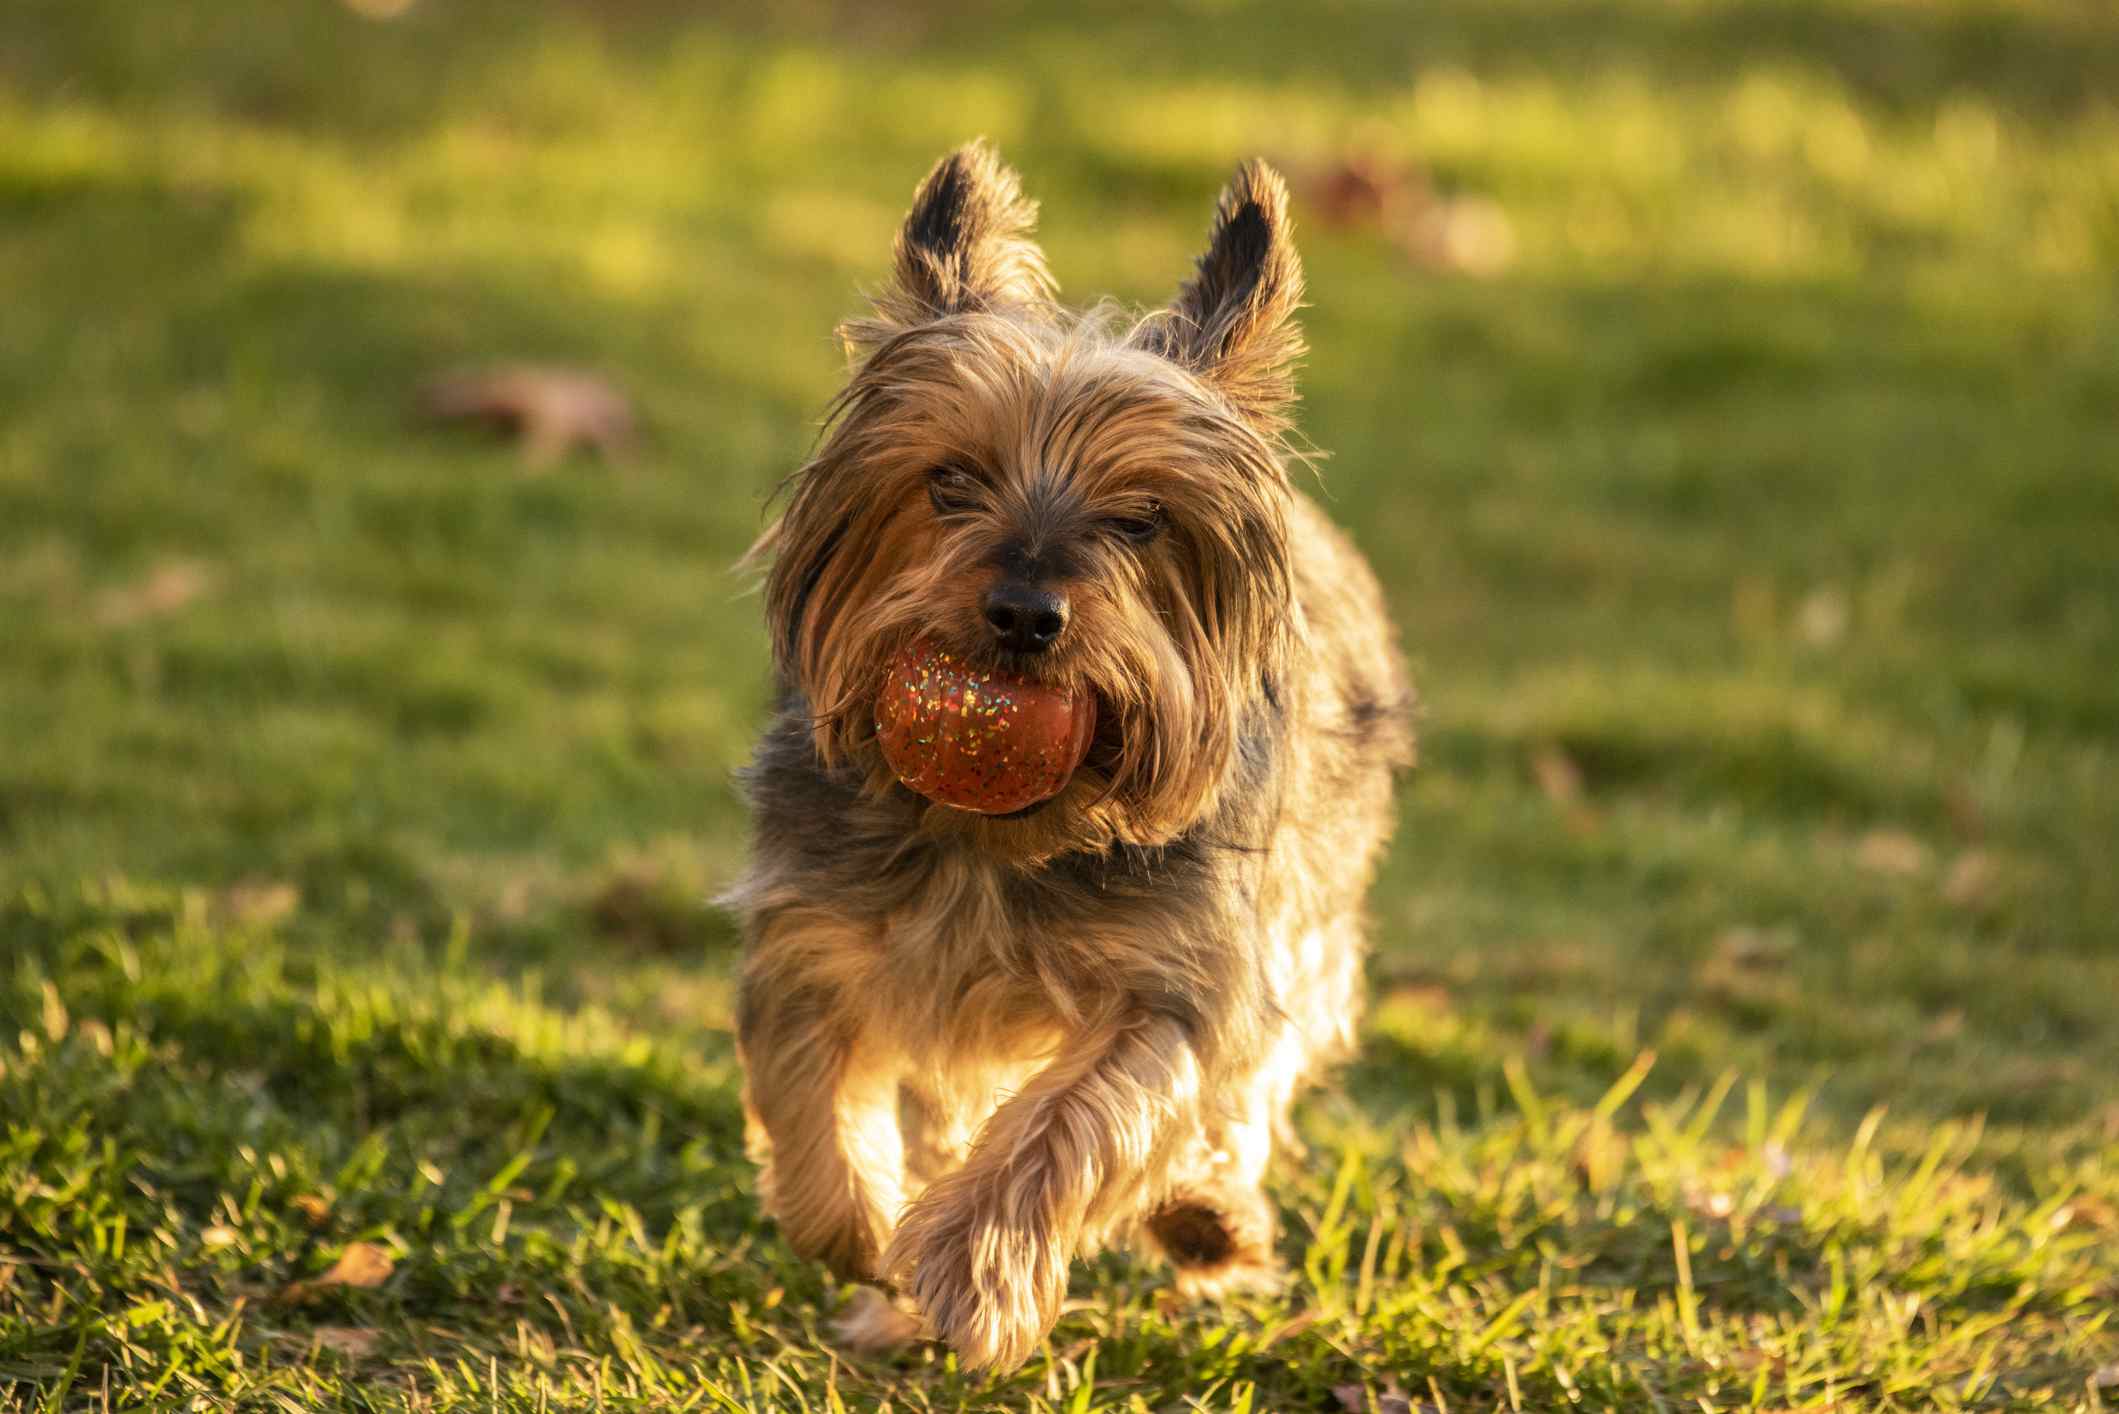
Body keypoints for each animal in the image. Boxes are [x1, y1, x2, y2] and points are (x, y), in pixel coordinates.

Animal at [724, 140, 1407, 1373]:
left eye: (1141, 517)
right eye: (949, 481)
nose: (1024, 614)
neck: (996, 837)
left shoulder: (1177, 973)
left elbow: (1082, 1115)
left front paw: (970, 1265)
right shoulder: (815, 925)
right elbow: (810, 1095)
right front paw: (866, 1239)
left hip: (1307, 914)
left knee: (1245, 1087)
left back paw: (1205, 1214)